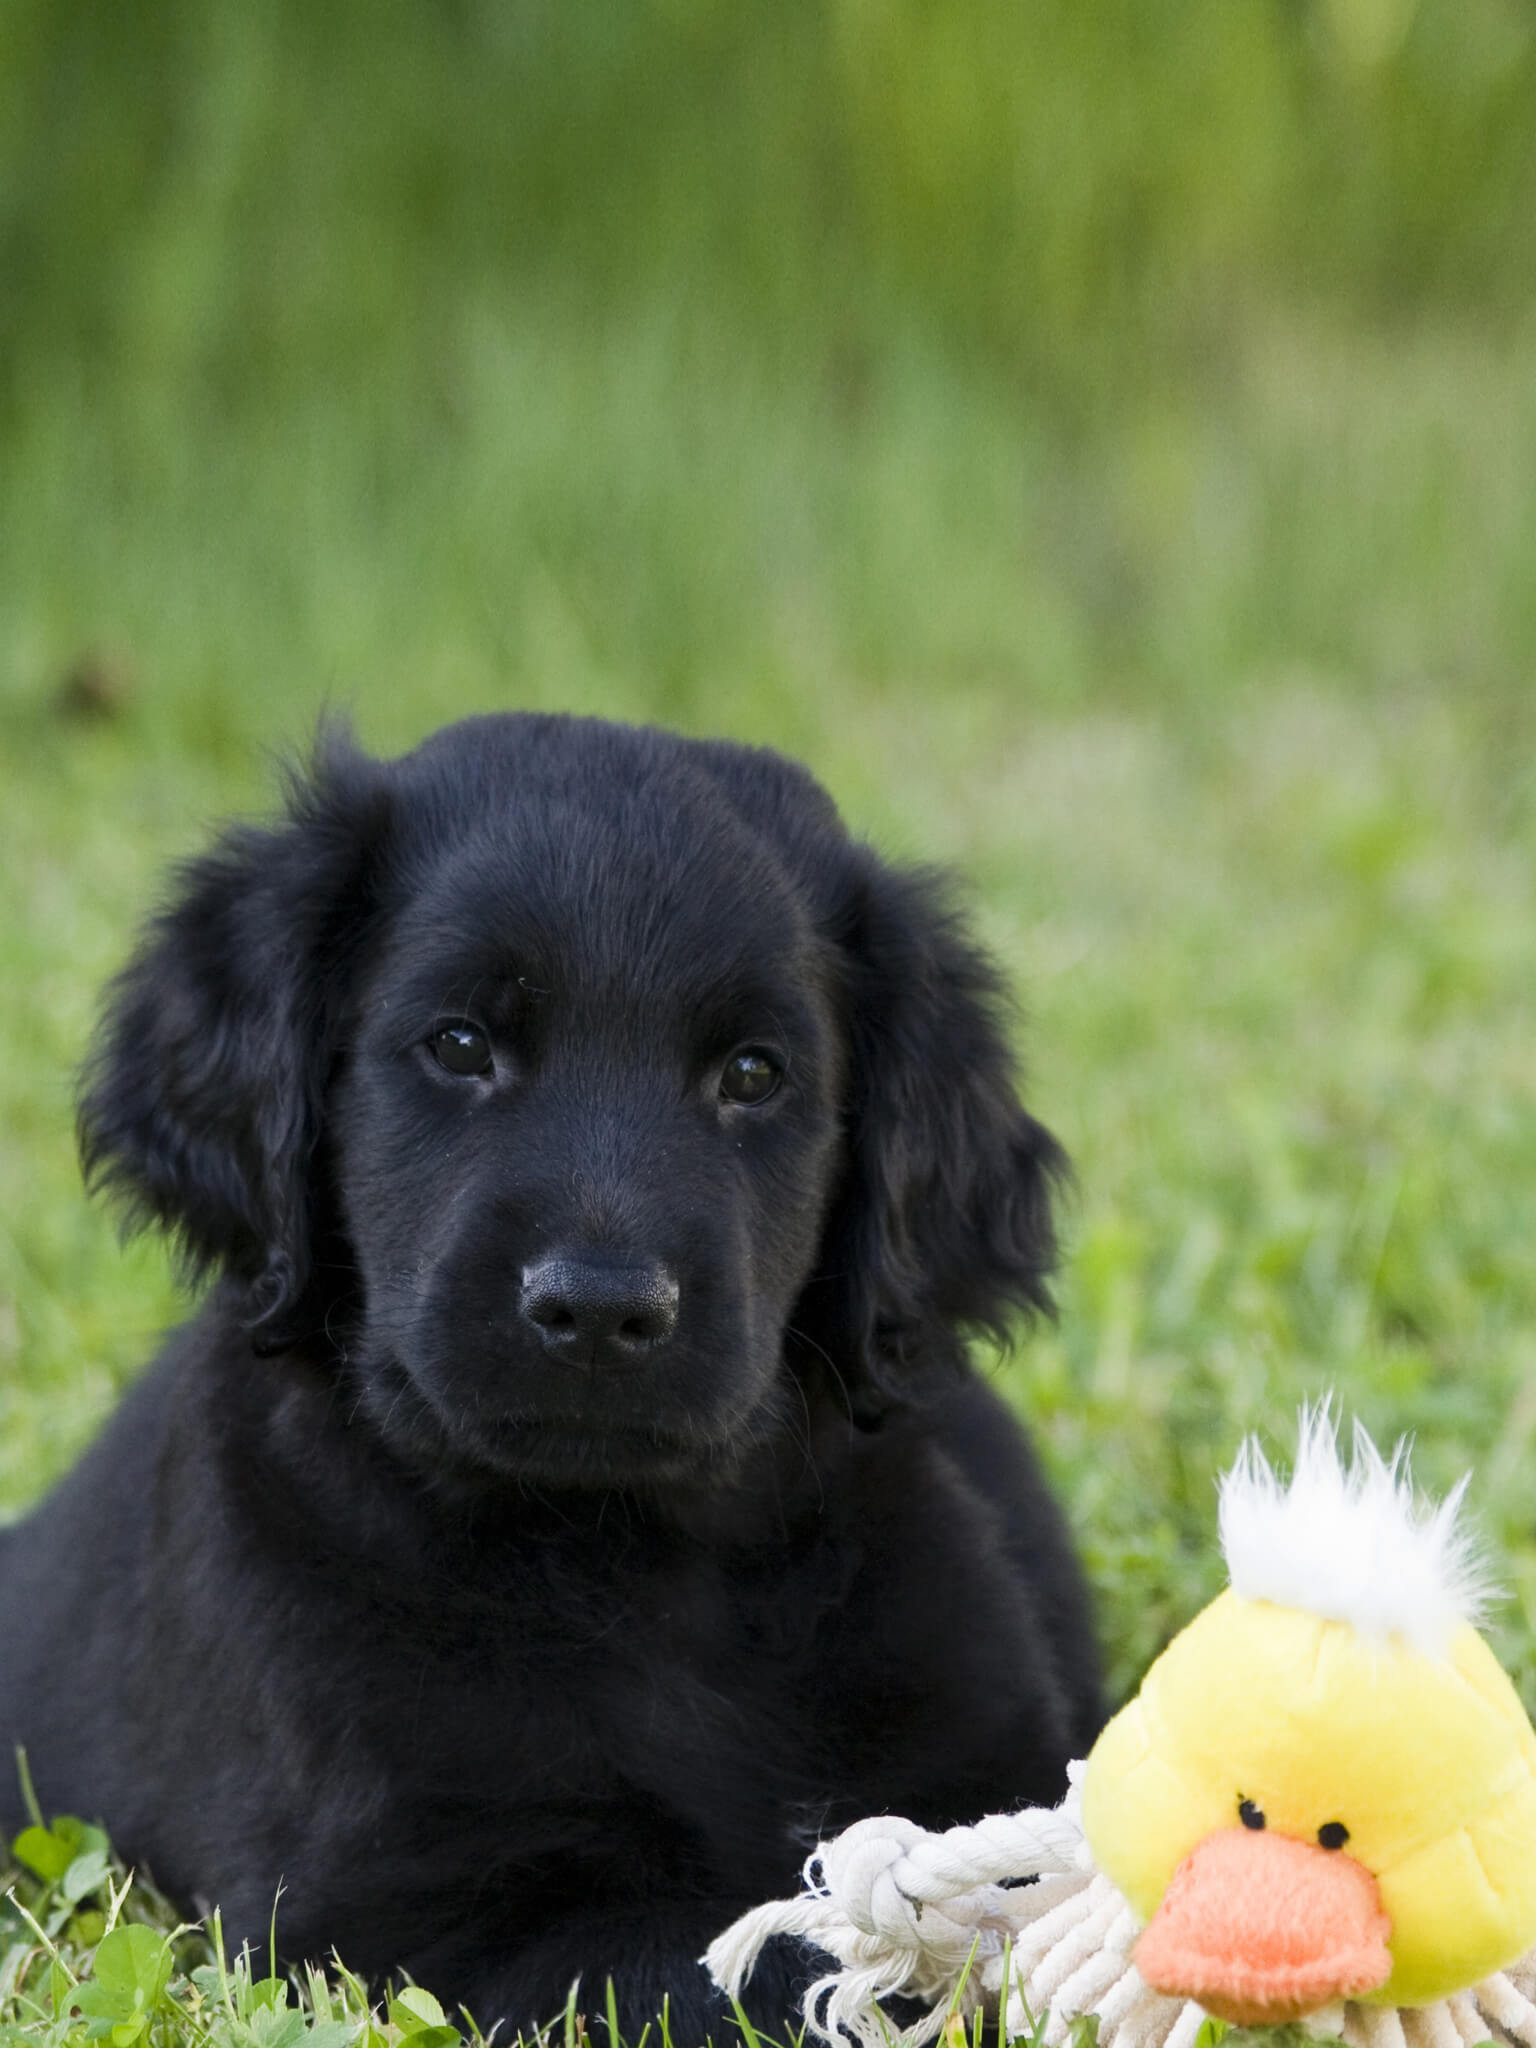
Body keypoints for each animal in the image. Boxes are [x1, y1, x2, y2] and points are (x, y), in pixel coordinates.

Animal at [3, 716, 1105, 2031]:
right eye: (460, 1044)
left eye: (752, 1072)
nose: (599, 1306)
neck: (637, 1562)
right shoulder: (411, 1898)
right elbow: (759, 1966)